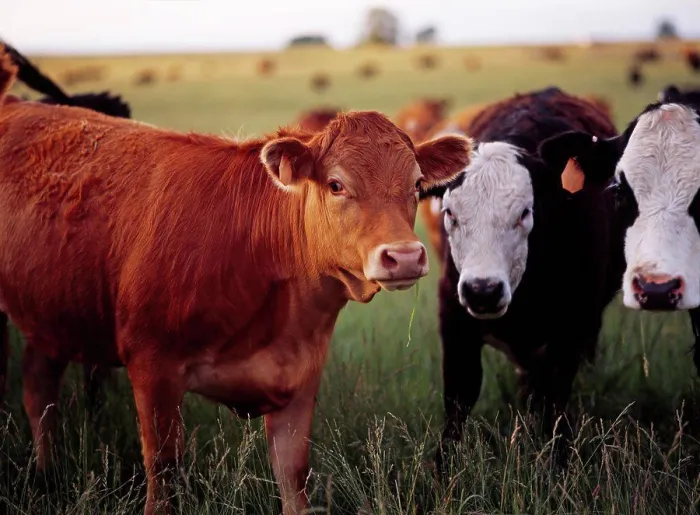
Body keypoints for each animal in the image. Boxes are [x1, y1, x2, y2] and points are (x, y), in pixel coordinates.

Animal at [0, 52, 471, 515]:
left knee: (38, 387)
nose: (404, 256)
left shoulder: (298, 381)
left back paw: (47, 472)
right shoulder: (152, 369)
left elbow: (294, 477)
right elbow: (163, 470)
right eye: (336, 185)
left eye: (416, 184)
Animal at [424, 87, 620, 473]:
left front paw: (558, 466)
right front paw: (442, 472)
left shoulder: (572, 327)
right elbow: (459, 395)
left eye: (525, 212)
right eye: (450, 213)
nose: (483, 291)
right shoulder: (454, 318)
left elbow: (555, 401)